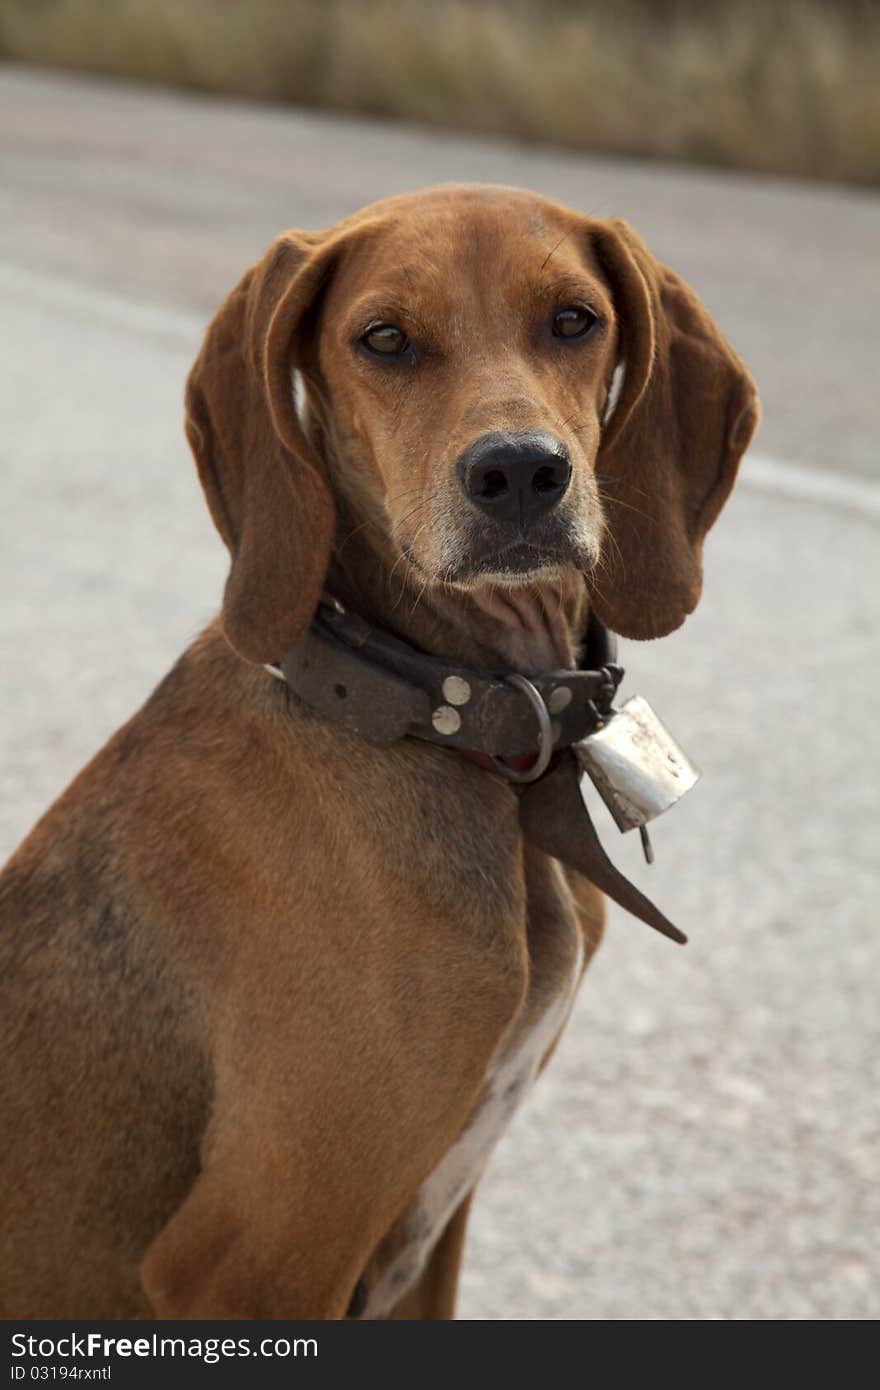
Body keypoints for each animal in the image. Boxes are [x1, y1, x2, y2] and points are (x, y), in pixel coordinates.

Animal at [0, 187, 756, 1323]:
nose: (520, 472)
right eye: (385, 339)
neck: (445, 722)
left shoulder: (429, 1235)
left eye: (574, 320)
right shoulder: (255, 1257)